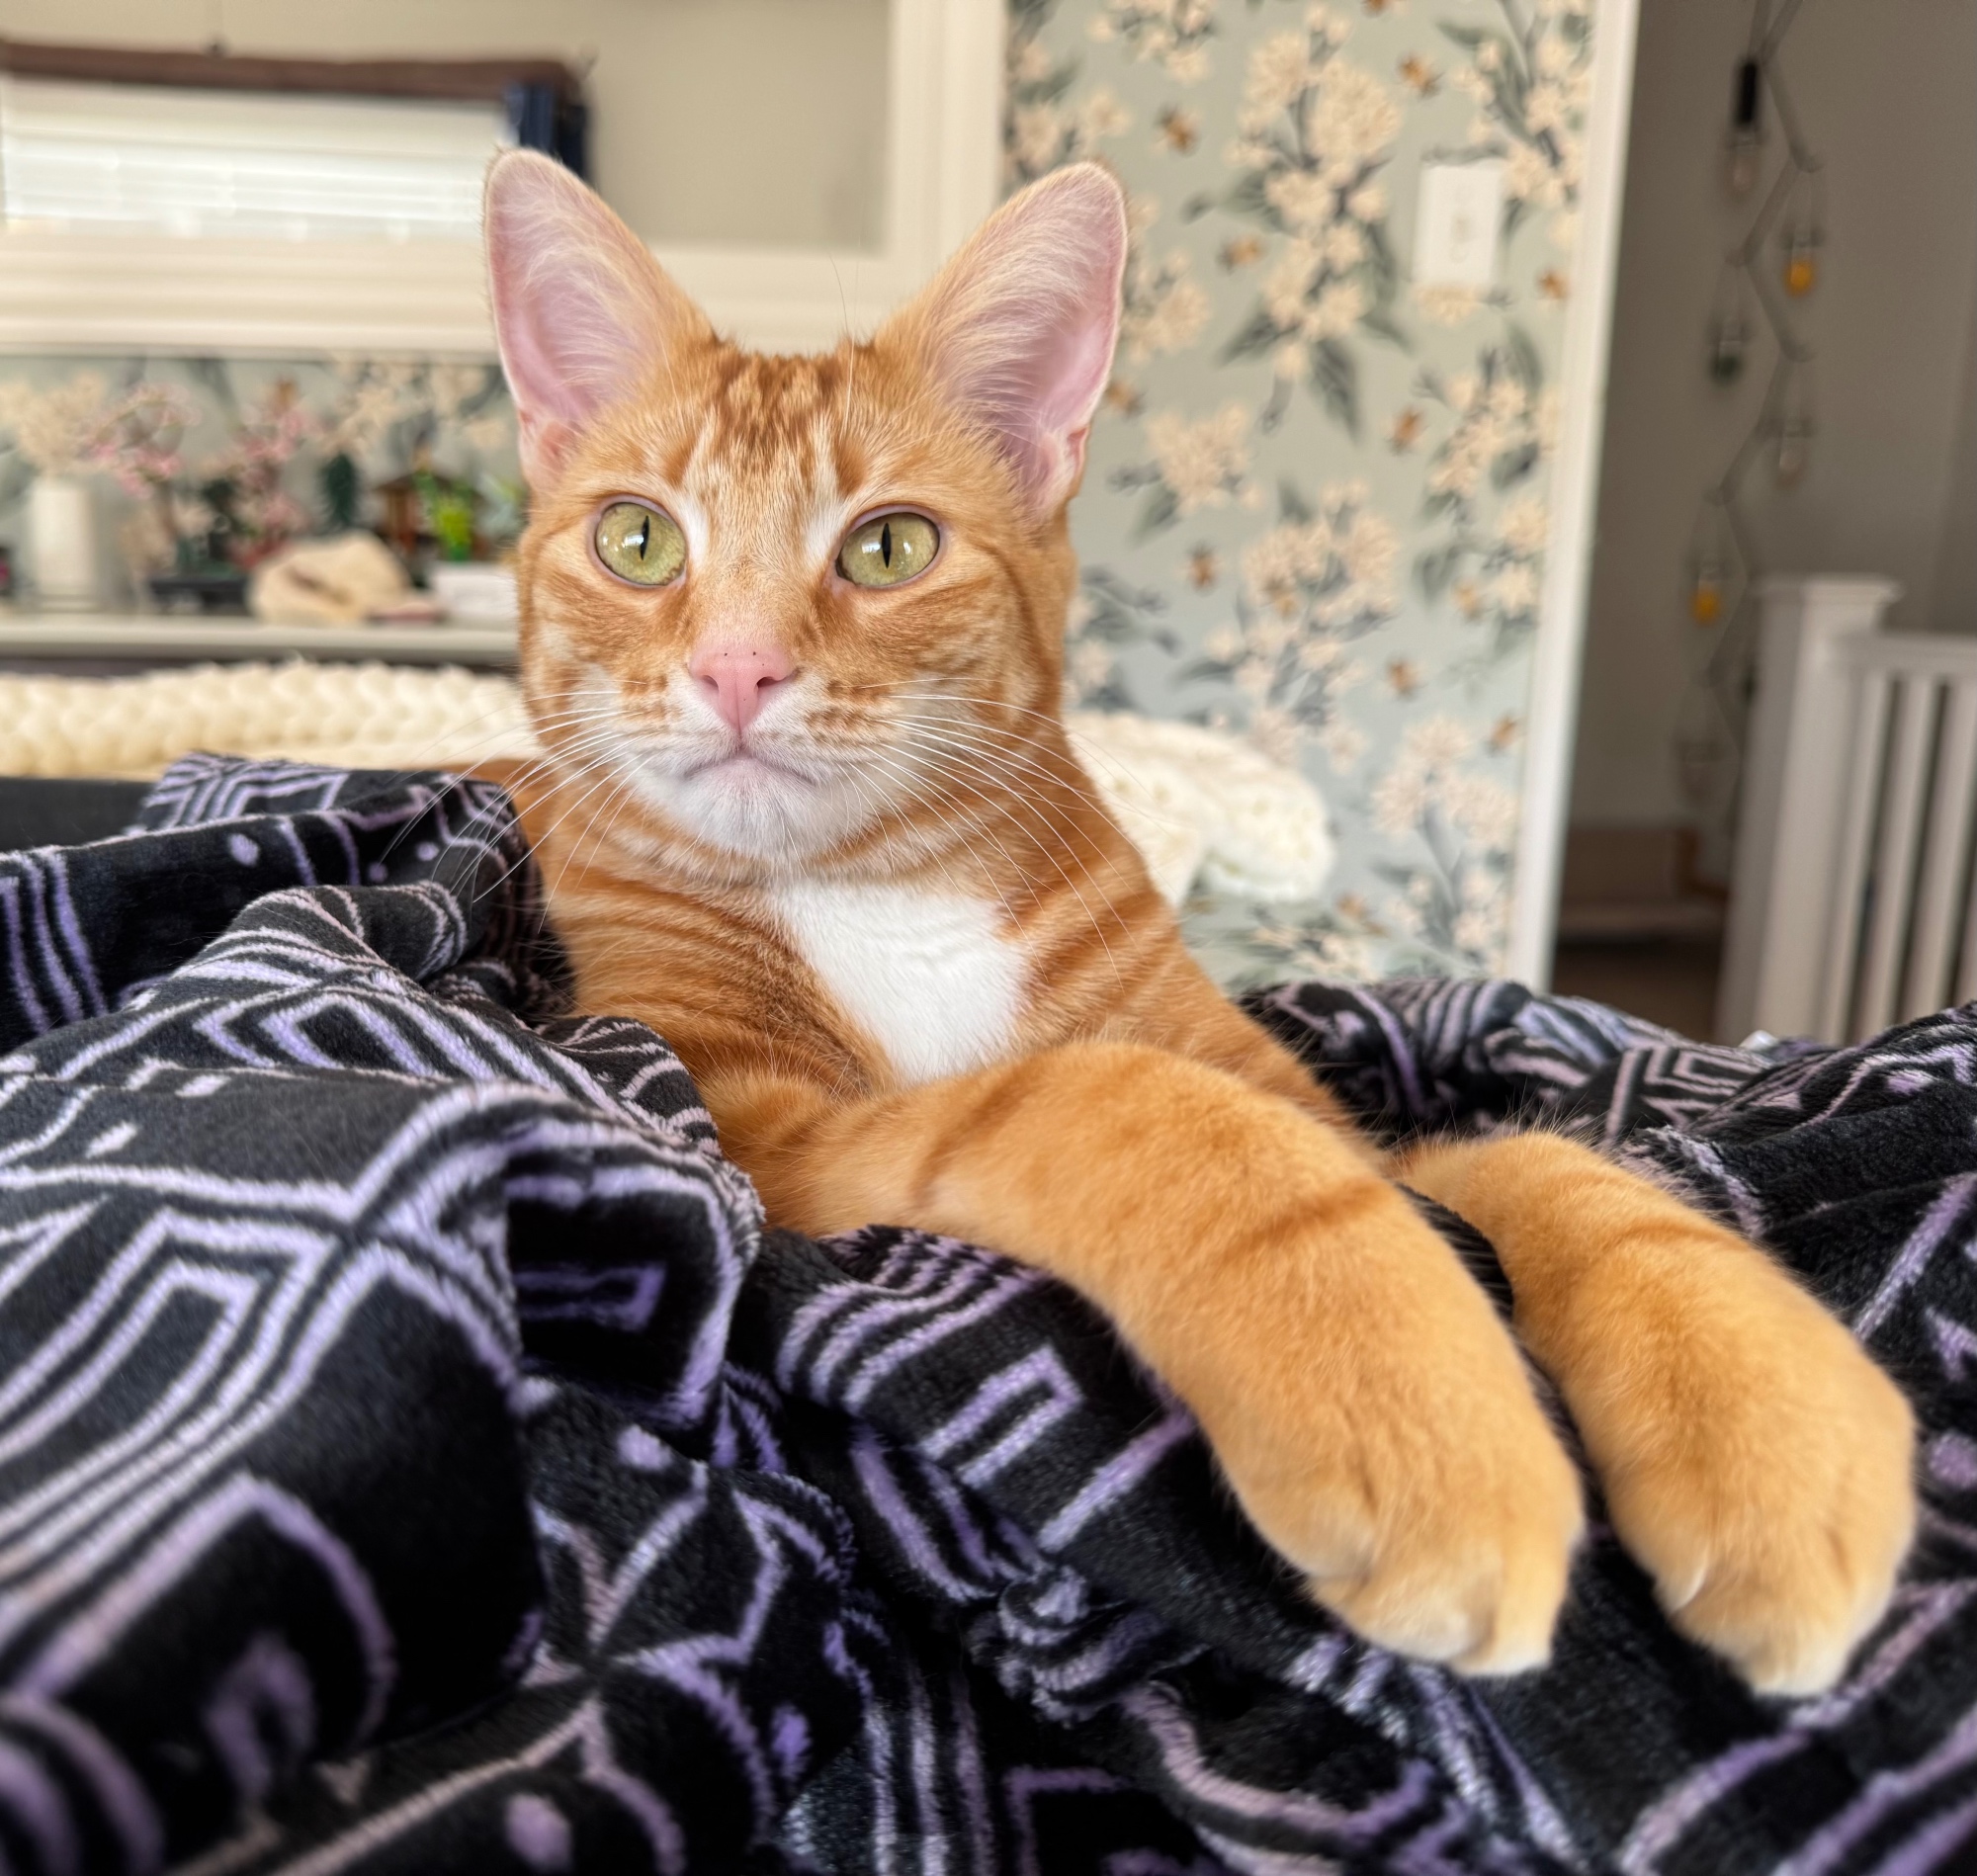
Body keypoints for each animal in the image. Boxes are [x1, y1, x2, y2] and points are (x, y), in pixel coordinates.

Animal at [482, 147, 1915, 1693]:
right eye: (637, 539)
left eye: (889, 545)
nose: (737, 667)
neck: (875, 879)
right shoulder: (763, 1147)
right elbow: (1125, 1101)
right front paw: (1409, 1396)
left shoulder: (1339, 1117)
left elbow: (1540, 1162)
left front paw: (1763, 1409)